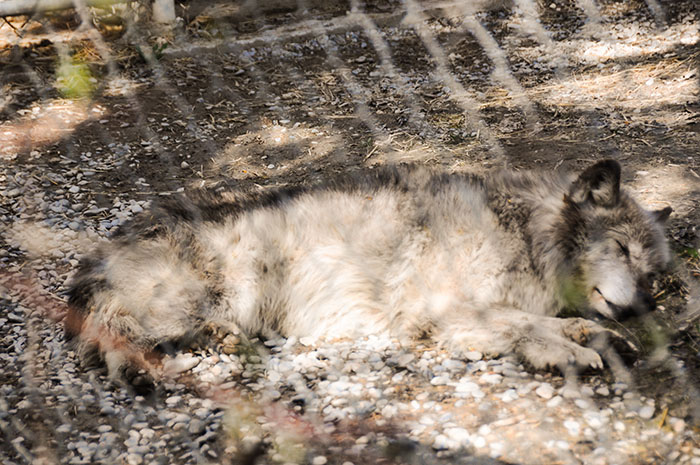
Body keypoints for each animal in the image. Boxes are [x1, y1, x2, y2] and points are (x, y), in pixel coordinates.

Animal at [66, 160, 672, 386]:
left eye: (653, 271)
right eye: (619, 247)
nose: (643, 307)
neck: (525, 231)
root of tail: (103, 249)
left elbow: (550, 320)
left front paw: (592, 335)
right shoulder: (440, 312)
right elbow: (528, 326)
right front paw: (569, 350)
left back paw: (224, 340)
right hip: (217, 290)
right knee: (119, 334)